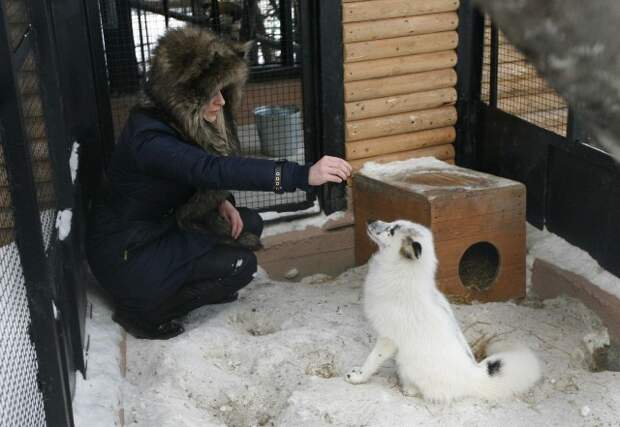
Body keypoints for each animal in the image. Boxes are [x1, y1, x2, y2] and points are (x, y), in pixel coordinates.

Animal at [346, 219, 540, 402]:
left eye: (392, 230)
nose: (370, 220)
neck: (401, 274)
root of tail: (473, 375)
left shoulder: (388, 338)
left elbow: (372, 360)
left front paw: (358, 376)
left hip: (407, 362)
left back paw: (409, 389)